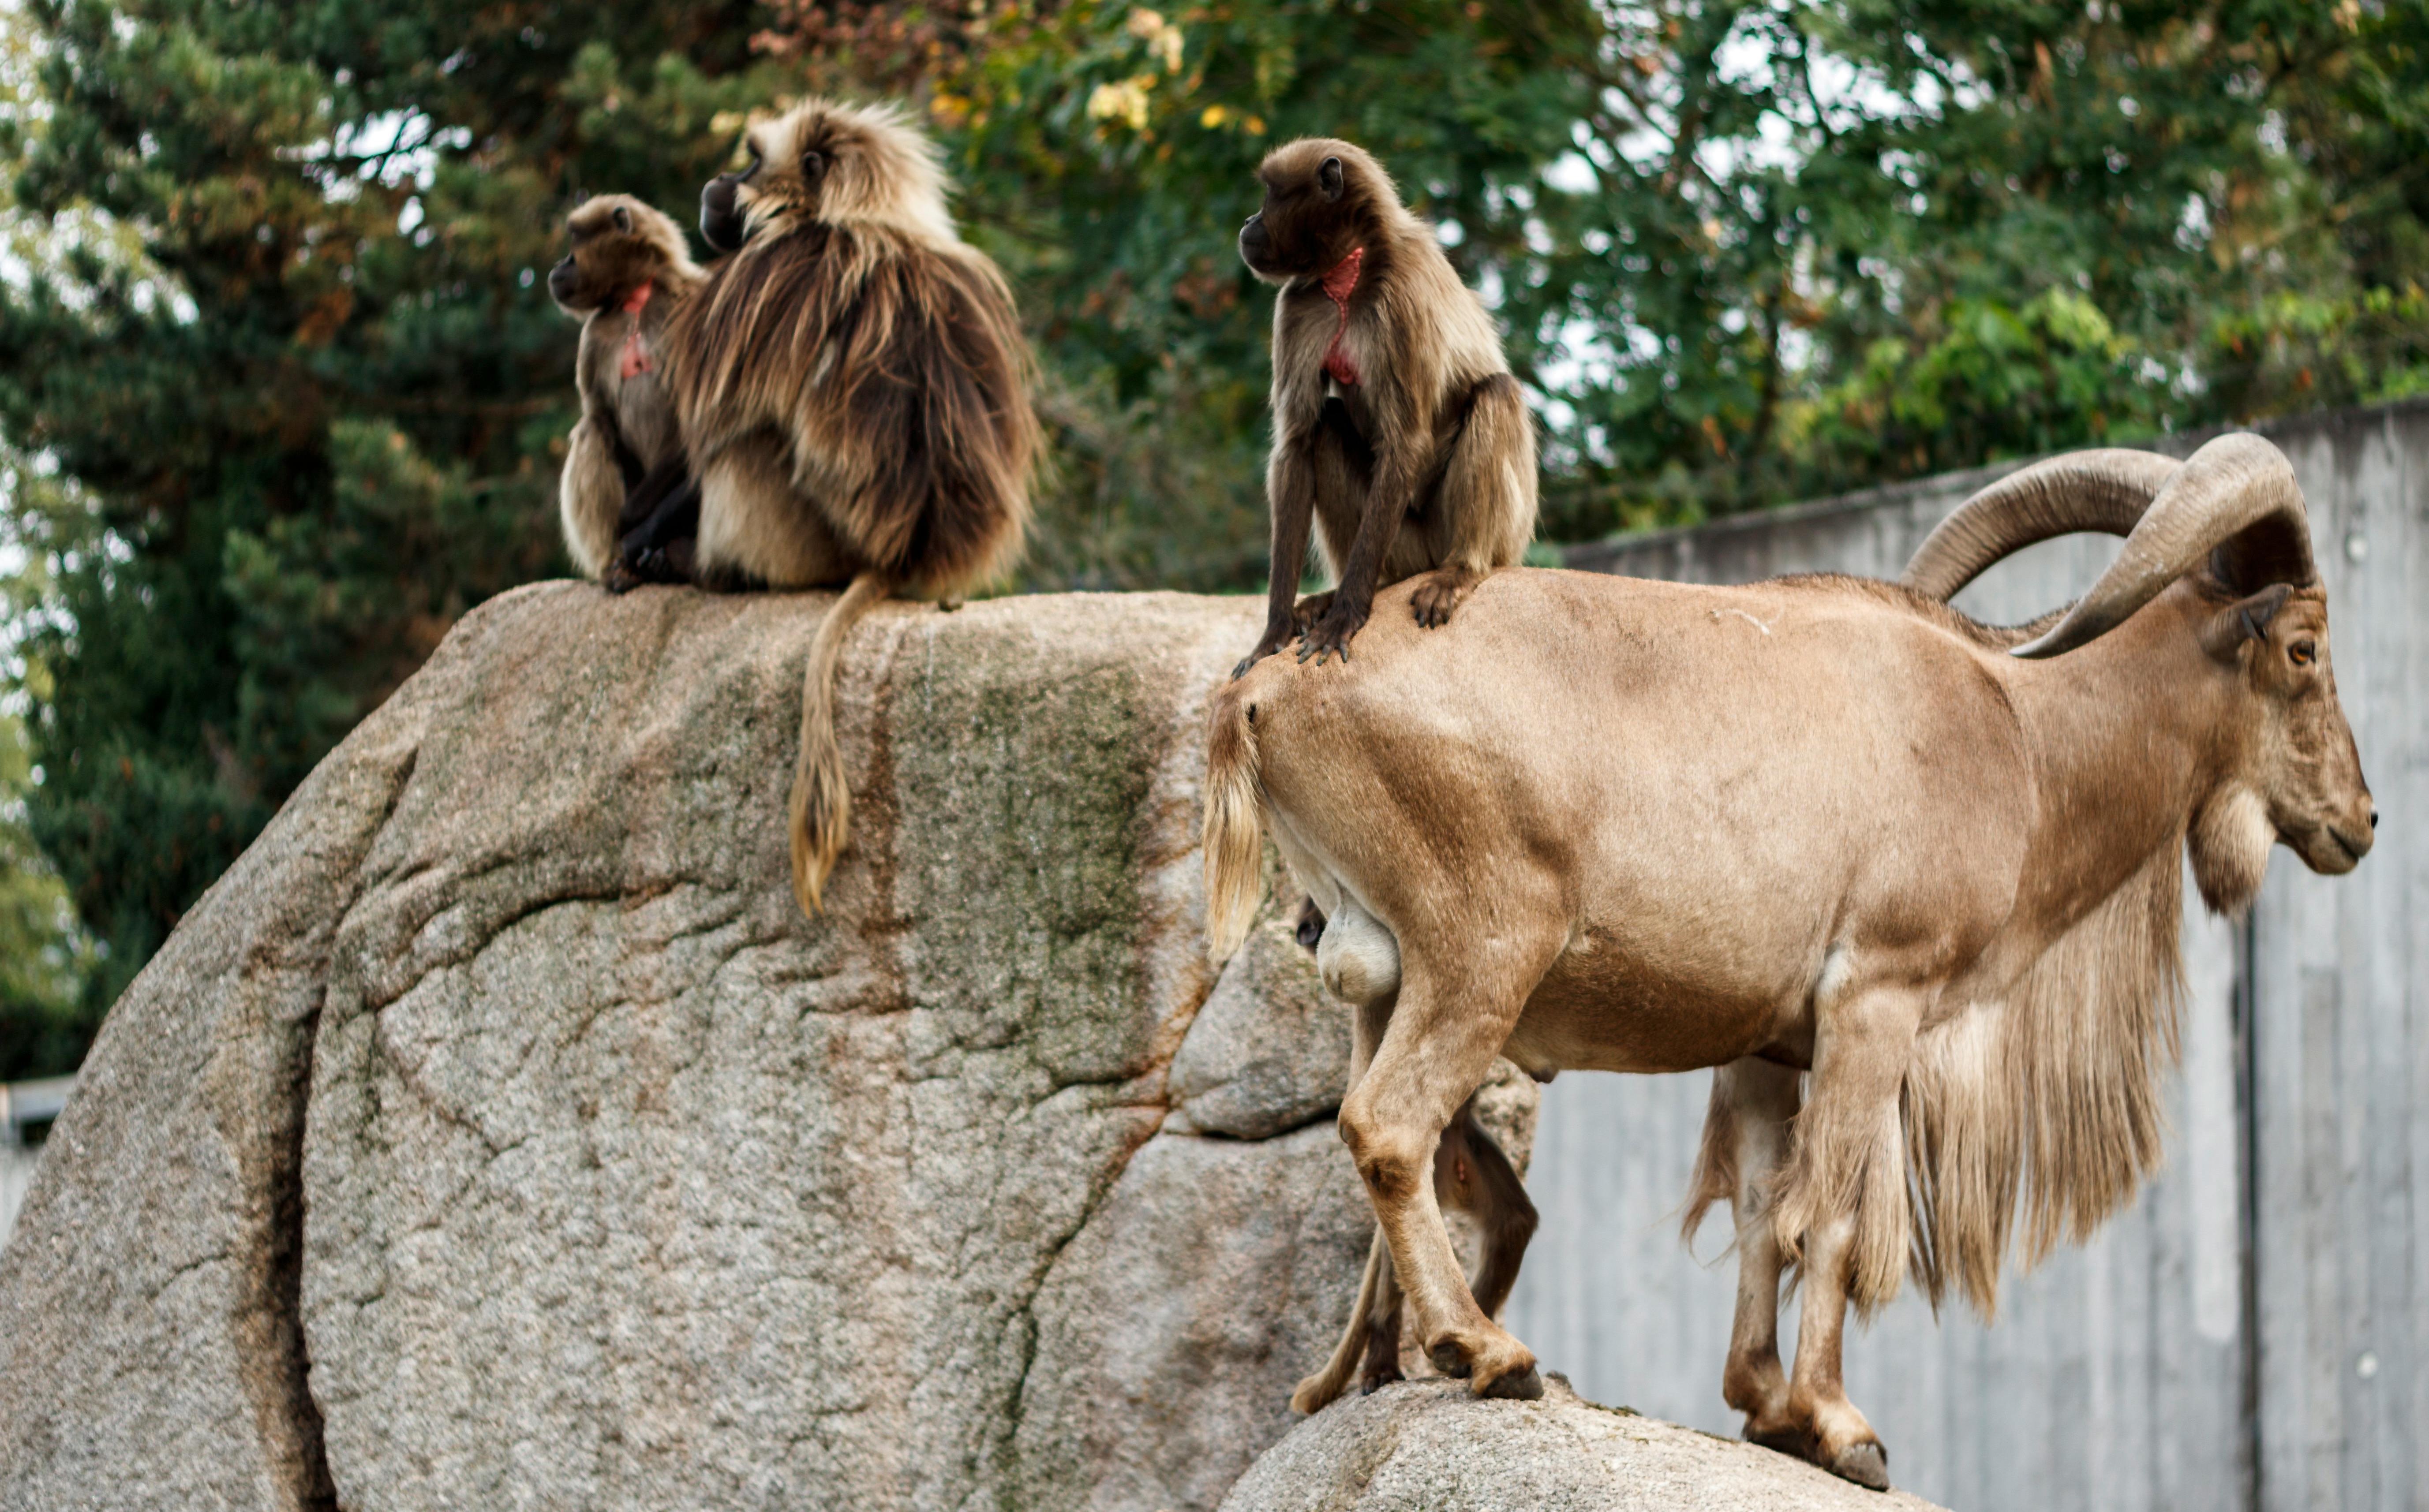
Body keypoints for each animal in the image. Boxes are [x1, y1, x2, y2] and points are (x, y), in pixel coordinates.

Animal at [546, 194, 706, 584]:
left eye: (573, 239)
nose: (558, 265)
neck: (635, 301)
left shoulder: (692, 300)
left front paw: (634, 521)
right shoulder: (594, 334)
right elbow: (601, 414)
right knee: (593, 429)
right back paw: (617, 565)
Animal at [626, 98, 1039, 917]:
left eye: (752, 162)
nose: (717, 181)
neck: (853, 219)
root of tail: (897, 557)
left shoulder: (769, 274)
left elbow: (722, 426)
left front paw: (642, 537)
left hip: (802, 538)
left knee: (747, 446)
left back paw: (707, 568)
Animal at [1202, 434, 2374, 1489]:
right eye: (2302, 649)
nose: (2358, 820)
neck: (2020, 737)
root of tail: (1261, 692)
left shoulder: (1765, 1045)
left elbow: (1765, 1208)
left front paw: (1761, 1401)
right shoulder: (1876, 999)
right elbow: (1832, 1215)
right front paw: (1836, 1422)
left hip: (1378, 972)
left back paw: (1358, 1370)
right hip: (1480, 951)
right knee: (1388, 1125)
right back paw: (1484, 1350)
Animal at [1232, 138, 1538, 676]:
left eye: (1270, 195)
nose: (1249, 221)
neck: (1350, 273)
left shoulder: (1402, 296)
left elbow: (1406, 442)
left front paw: (1345, 617)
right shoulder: (1299, 304)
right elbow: (1296, 444)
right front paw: (1272, 636)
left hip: (1464, 537)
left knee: (1497, 392)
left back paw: (1461, 569)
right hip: (1403, 551)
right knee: (1327, 426)